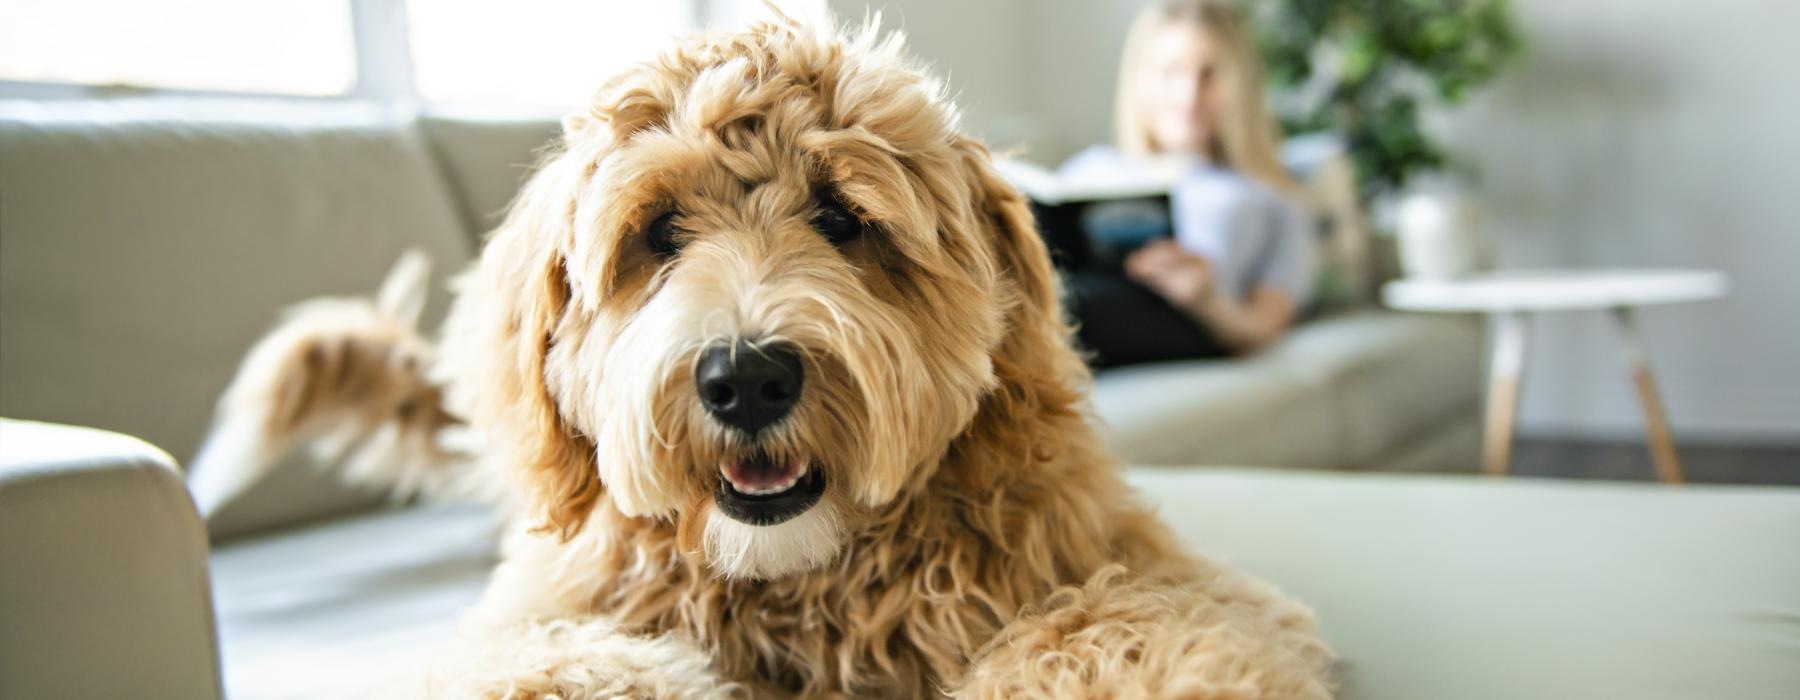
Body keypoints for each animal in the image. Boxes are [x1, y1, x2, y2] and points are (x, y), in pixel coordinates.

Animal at [189, 12, 1332, 698]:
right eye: (658, 232)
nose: (746, 378)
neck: (801, 583)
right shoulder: (538, 619)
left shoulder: (1148, 575)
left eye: (841, 219)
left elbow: (1109, 634)